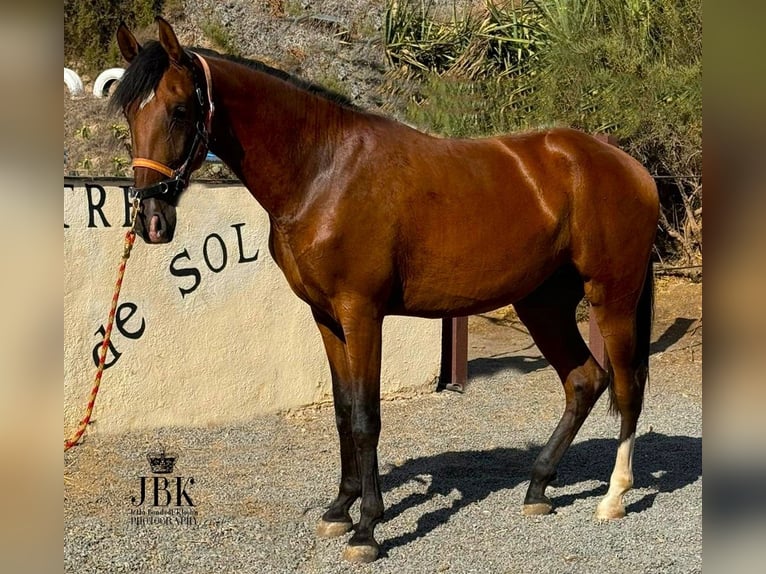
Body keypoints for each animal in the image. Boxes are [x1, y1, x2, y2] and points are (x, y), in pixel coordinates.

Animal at [112, 19, 660, 568]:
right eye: (128, 111)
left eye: (179, 109)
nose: (151, 220)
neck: (323, 171)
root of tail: (629, 165)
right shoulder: (326, 317)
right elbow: (341, 410)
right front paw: (340, 508)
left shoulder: (362, 313)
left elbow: (365, 417)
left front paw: (367, 529)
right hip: (542, 303)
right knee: (584, 380)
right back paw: (538, 489)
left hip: (611, 298)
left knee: (626, 387)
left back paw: (613, 497)